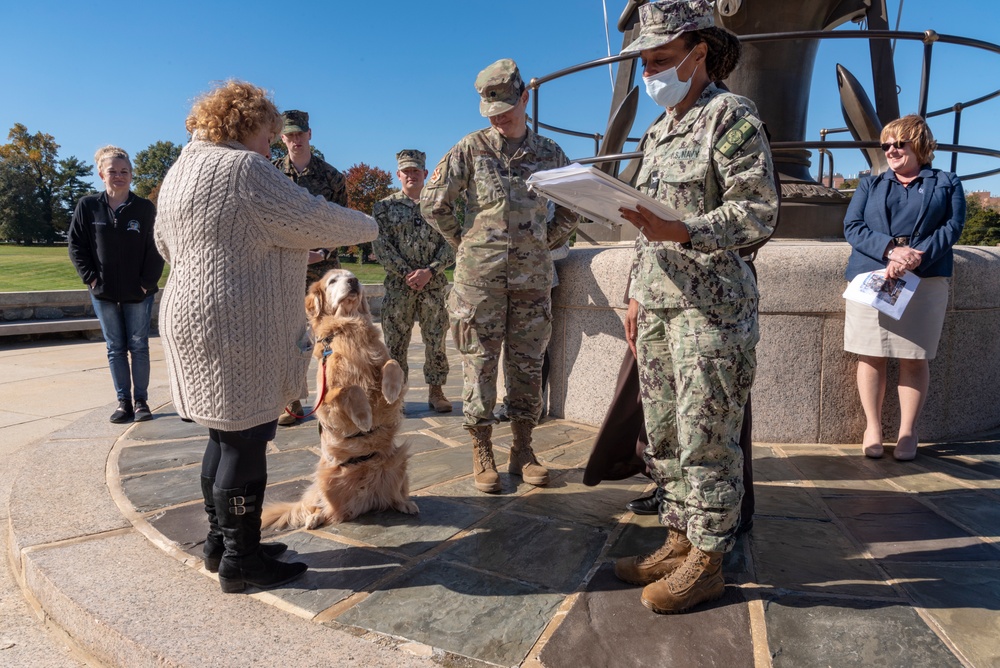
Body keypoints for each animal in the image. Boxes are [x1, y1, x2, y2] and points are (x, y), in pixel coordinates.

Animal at [262, 268, 418, 528]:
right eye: (333, 281)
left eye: (352, 276)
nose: (354, 282)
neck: (348, 326)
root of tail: (365, 501)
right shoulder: (326, 399)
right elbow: (350, 389)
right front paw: (364, 418)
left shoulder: (384, 365)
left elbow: (393, 364)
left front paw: (391, 389)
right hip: (325, 478)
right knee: (326, 508)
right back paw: (315, 517)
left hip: (399, 461)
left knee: (392, 496)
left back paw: (405, 504)